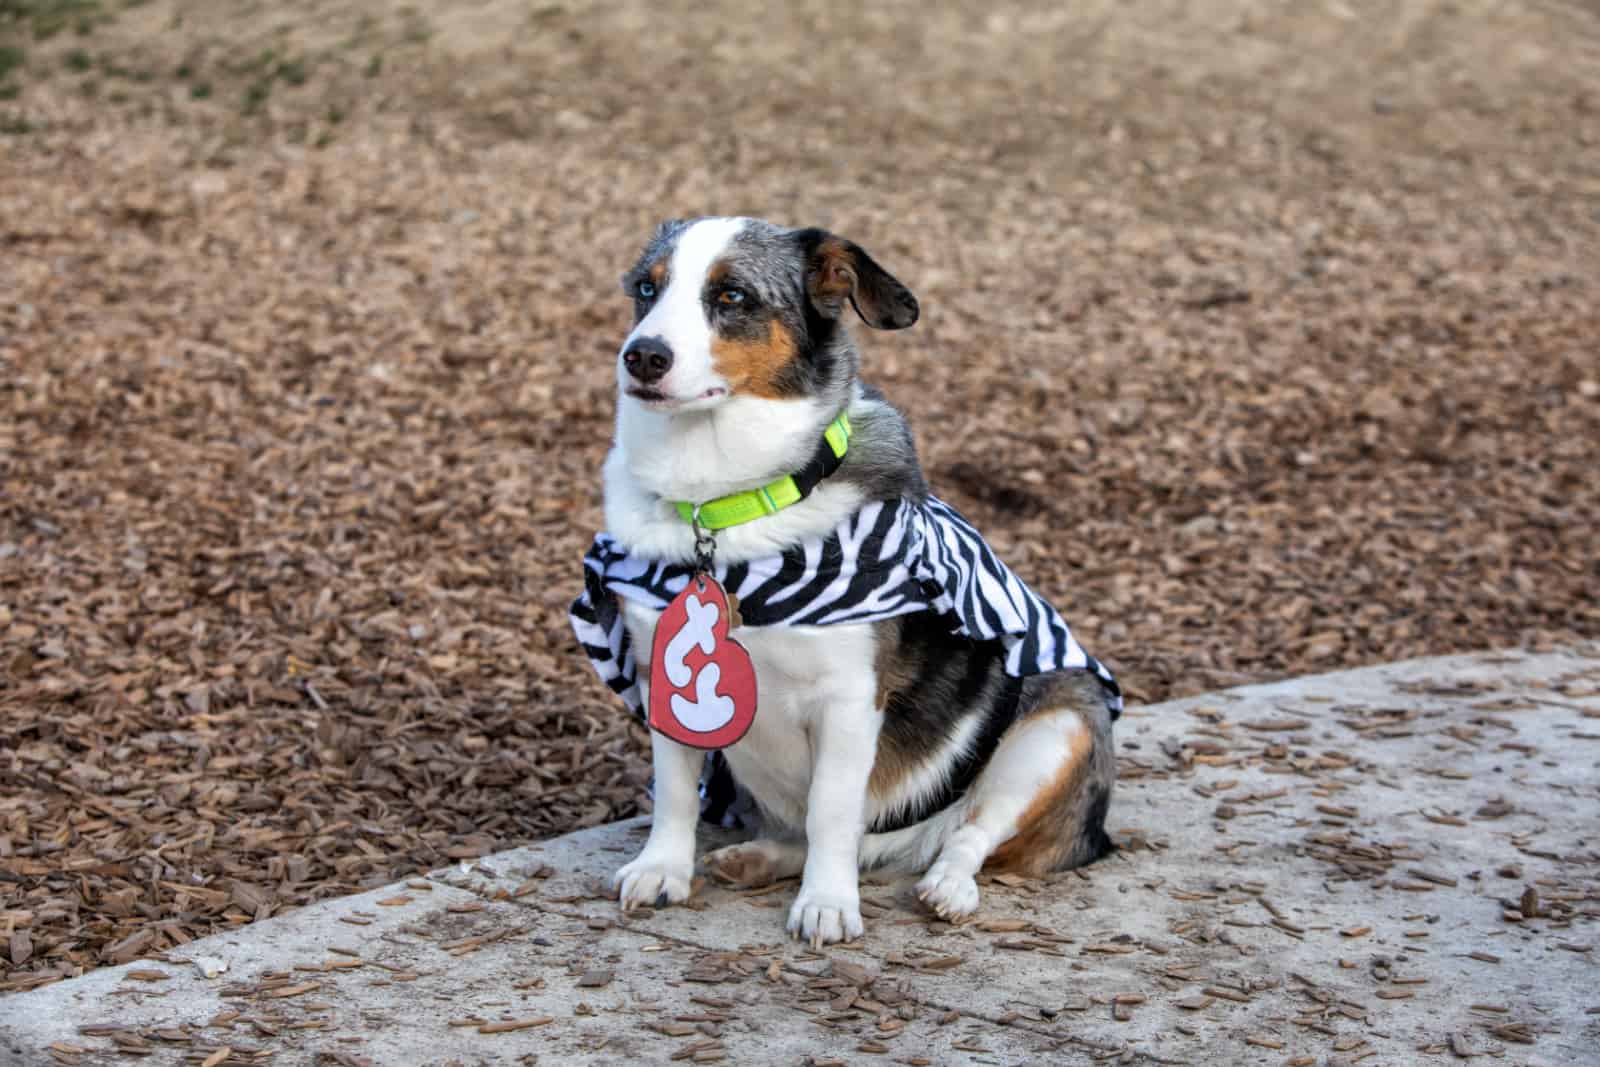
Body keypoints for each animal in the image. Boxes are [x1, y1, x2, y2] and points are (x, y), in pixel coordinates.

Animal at [576, 217, 1126, 953]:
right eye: (646, 288)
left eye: (732, 295)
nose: (641, 357)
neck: (723, 506)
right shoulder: (661, 677)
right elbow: (674, 793)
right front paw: (662, 869)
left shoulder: (848, 697)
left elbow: (832, 812)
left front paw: (827, 903)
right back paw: (759, 857)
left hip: (1060, 728)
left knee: (969, 833)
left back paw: (948, 886)